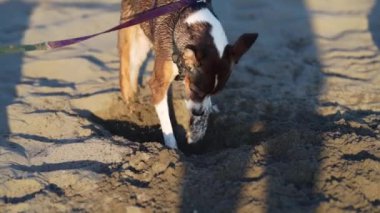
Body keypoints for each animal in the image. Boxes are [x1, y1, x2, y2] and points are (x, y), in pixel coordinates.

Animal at [117, 0, 256, 149]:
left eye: (214, 94)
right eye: (194, 90)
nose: (197, 113)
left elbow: (206, 107)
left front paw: (197, 133)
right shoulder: (158, 84)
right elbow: (166, 121)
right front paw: (172, 148)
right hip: (132, 37)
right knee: (127, 72)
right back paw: (130, 105)